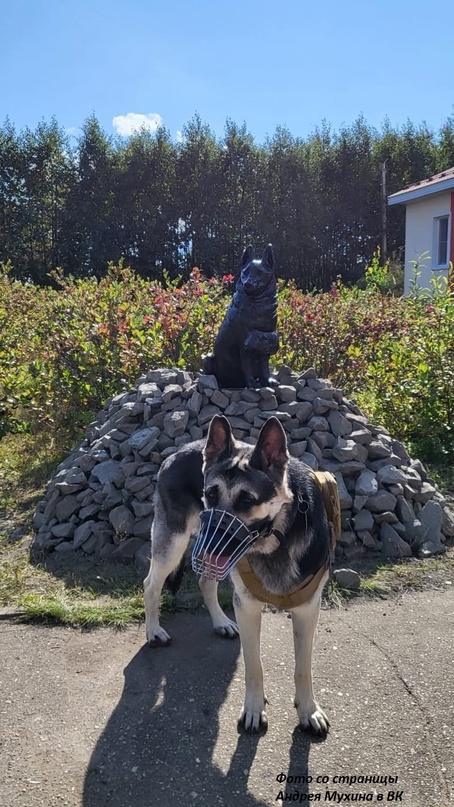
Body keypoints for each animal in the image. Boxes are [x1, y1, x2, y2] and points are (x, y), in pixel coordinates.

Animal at [144, 416, 332, 740]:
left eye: (247, 500)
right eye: (210, 494)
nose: (209, 544)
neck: (278, 540)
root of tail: (178, 450)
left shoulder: (308, 611)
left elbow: (303, 667)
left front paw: (308, 711)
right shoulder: (248, 608)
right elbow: (254, 667)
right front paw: (254, 710)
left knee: (205, 581)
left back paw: (220, 622)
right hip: (174, 543)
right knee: (151, 585)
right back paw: (154, 630)